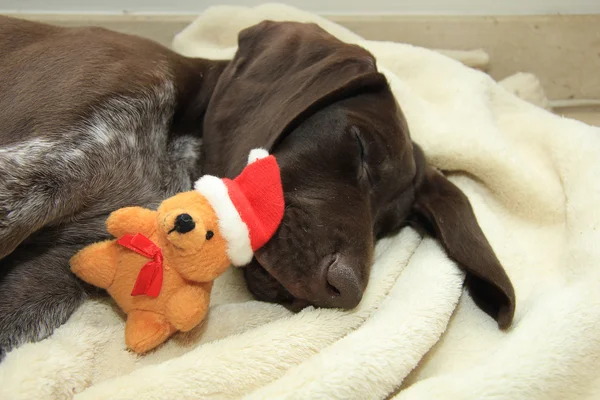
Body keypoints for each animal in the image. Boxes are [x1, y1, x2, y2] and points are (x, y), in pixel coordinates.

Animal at [0, 16, 516, 360]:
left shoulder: (53, 275)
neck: (172, 146)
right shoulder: (26, 176)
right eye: (360, 147)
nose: (345, 290)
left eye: (389, 226)